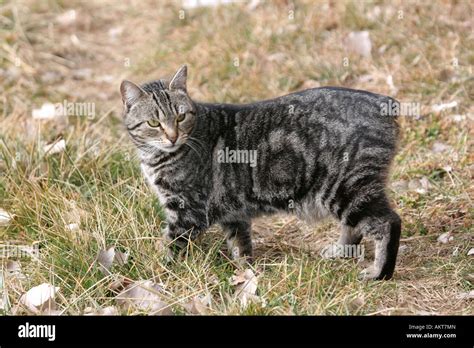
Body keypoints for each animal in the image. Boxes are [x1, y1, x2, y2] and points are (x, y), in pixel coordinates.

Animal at [120, 66, 402, 280]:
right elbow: (241, 247)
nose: (172, 137)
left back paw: (379, 273)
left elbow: (169, 245)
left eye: (180, 118)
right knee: (354, 227)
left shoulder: (187, 212)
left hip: (347, 188)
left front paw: (154, 270)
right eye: (154, 123)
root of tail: (384, 101)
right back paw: (340, 253)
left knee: (388, 222)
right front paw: (246, 274)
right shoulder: (233, 213)